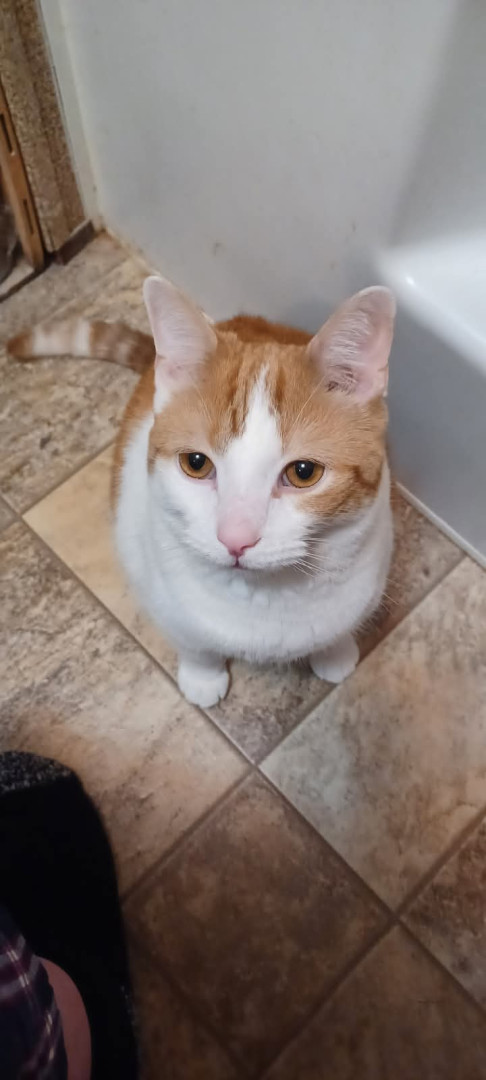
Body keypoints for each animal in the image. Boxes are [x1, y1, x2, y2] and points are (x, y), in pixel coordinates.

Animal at [9, 277, 396, 707]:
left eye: (303, 472)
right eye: (196, 464)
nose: (235, 539)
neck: (265, 600)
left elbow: (341, 627)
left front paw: (335, 653)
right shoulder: (161, 590)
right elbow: (195, 643)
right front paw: (203, 677)